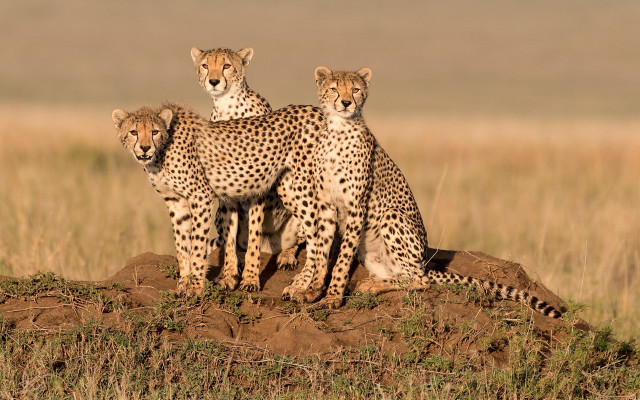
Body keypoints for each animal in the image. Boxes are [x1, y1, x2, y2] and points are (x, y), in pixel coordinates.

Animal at [191, 46, 304, 281]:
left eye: (226, 65)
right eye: (205, 65)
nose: (213, 81)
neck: (226, 105)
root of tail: (270, 247)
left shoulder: (259, 186)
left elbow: (254, 235)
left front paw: (250, 278)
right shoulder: (226, 191)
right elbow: (230, 240)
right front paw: (229, 275)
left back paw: (286, 256)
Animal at [283, 66, 562, 318]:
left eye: (355, 89)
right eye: (334, 88)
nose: (346, 102)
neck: (339, 129)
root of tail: (424, 260)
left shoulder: (355, 206)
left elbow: (341, 259)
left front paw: (332, 298)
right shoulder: (326, 203)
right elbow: (321, 250)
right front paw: (312, 291)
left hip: (392, 216)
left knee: (420, 279)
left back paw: (372, 285)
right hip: (374, 255)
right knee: (402, 275)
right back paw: (372, 282)